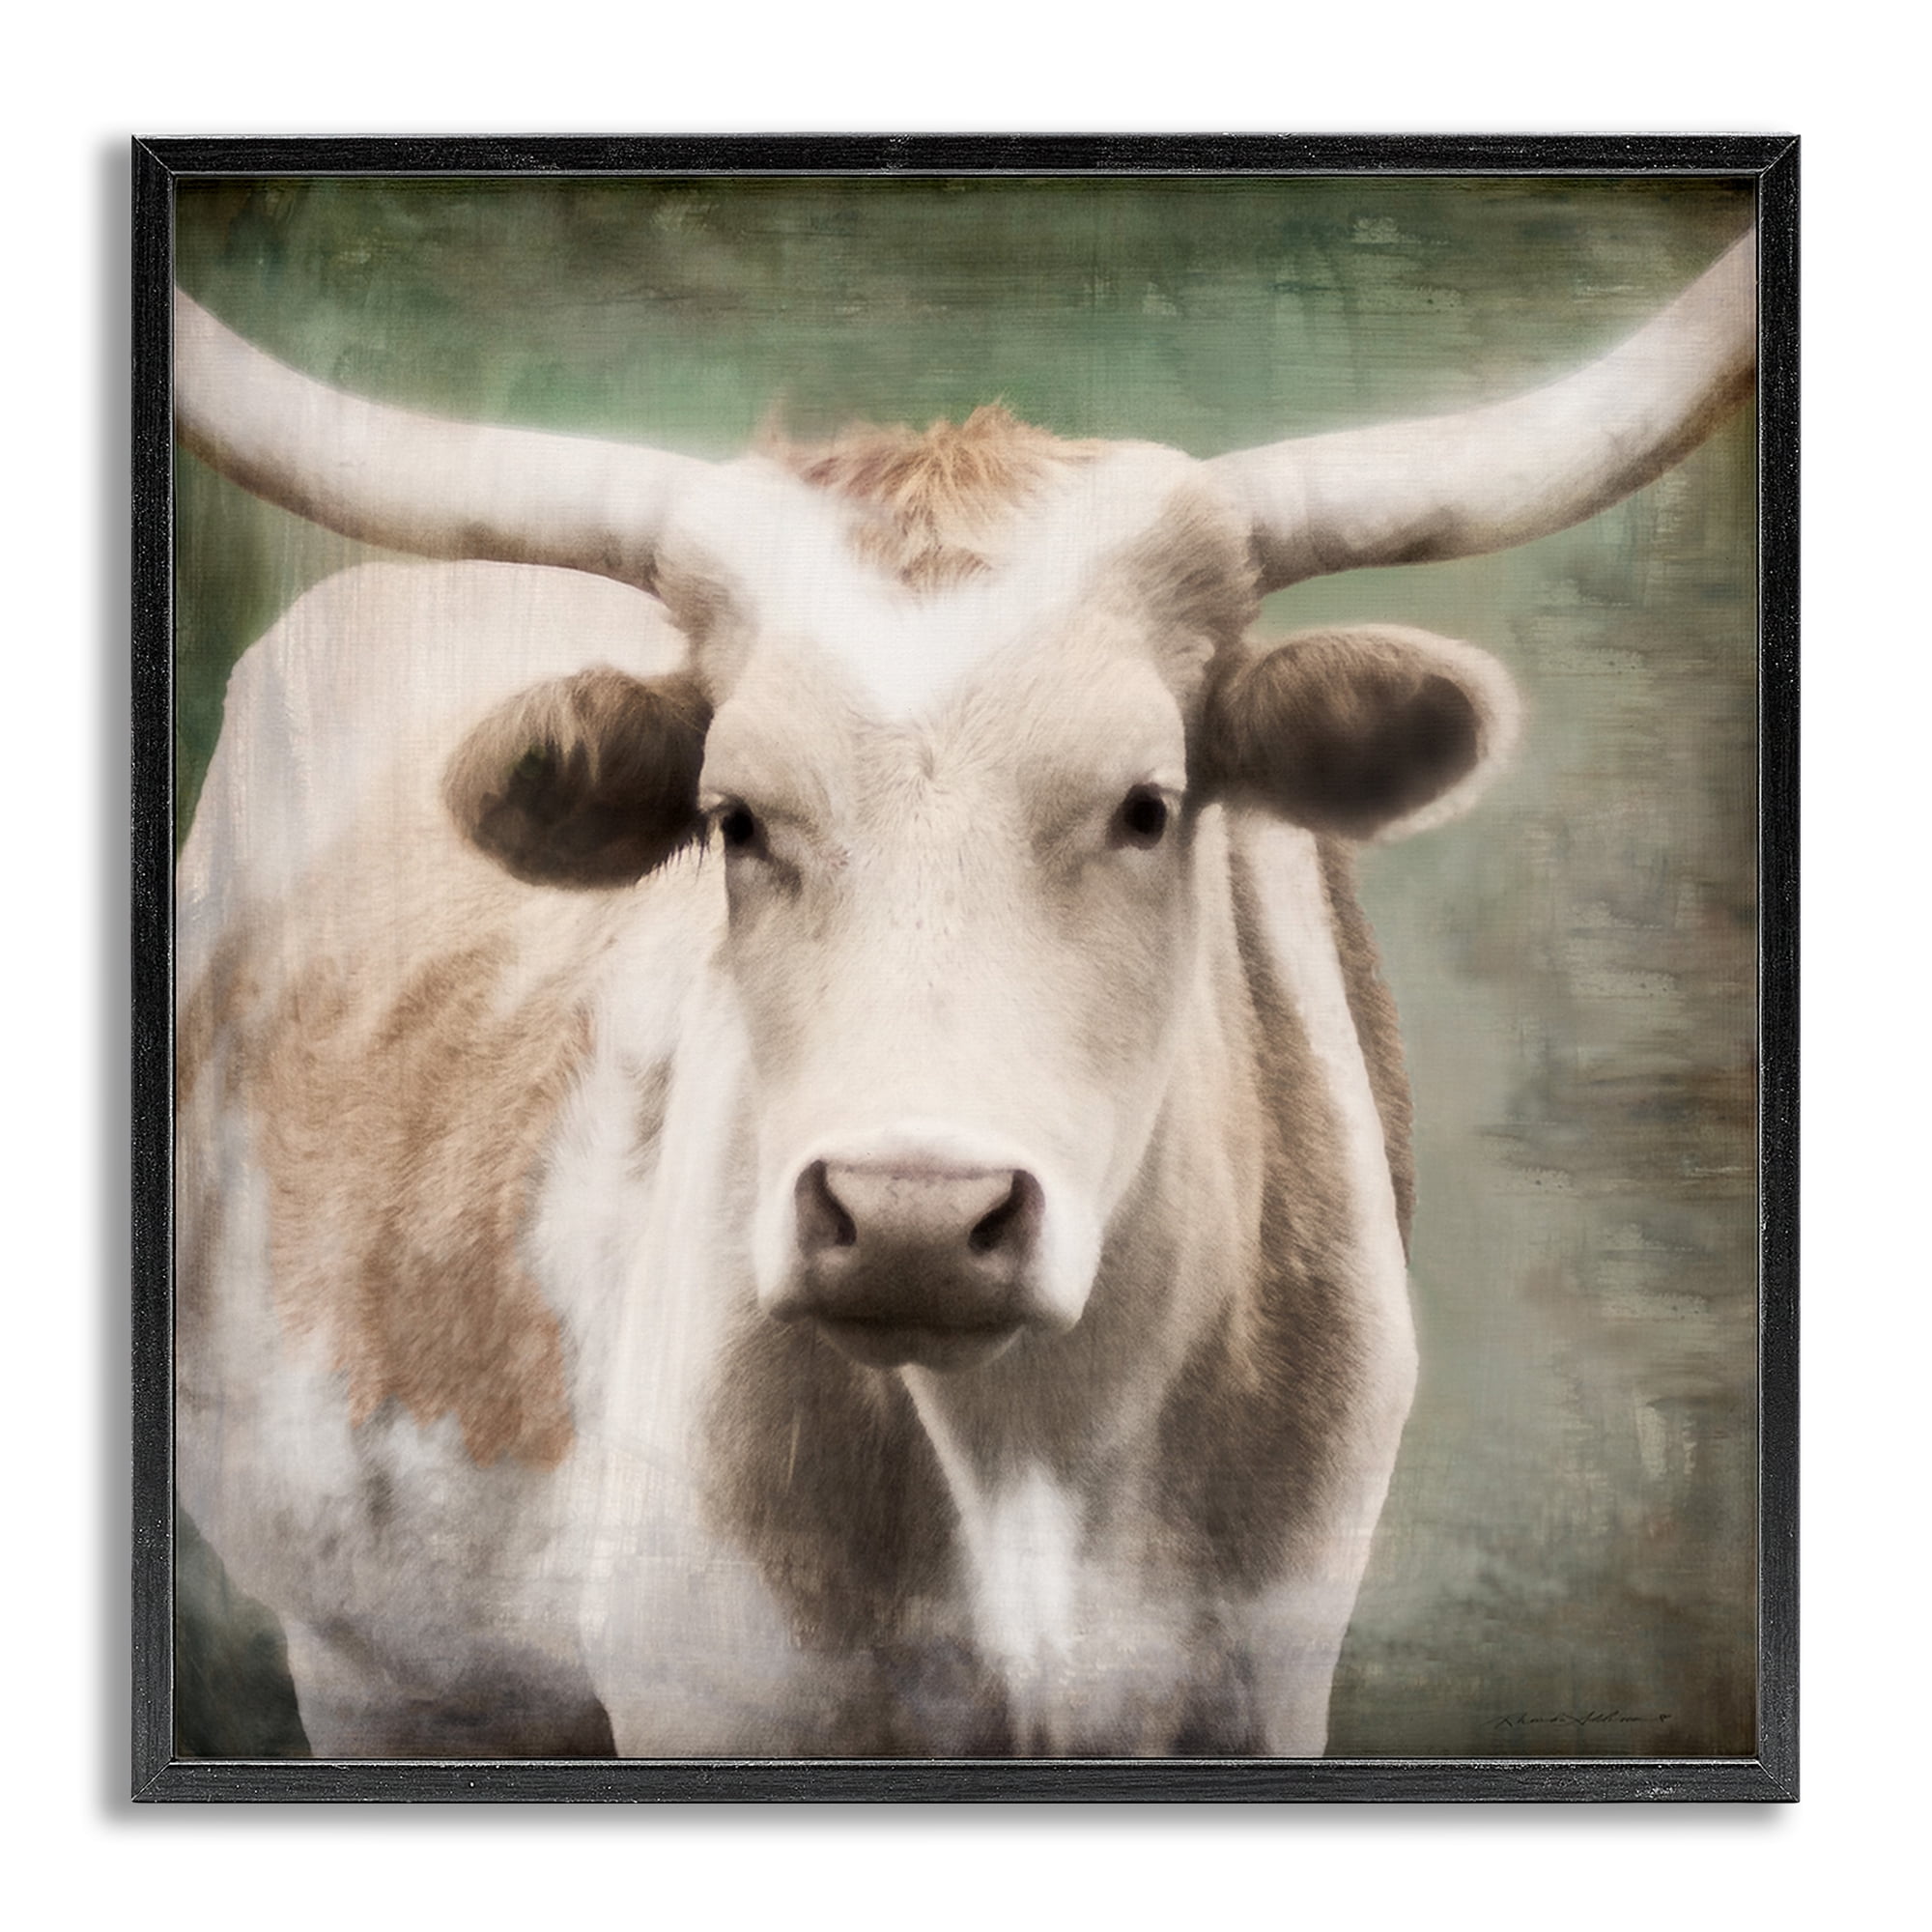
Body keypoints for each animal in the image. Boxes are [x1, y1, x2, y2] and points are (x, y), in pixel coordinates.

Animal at [172, 232, 1756, 1759]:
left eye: (1147, 806)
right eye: (734, 819)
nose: (911, 1219)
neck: (1033, 1464)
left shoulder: (1258, 1682)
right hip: (373, 1661)